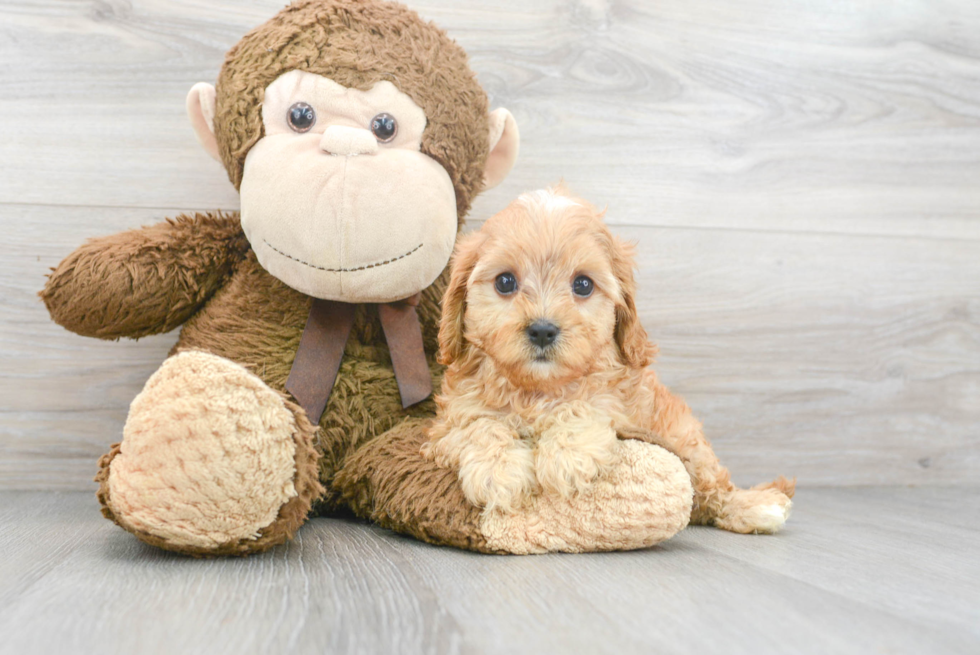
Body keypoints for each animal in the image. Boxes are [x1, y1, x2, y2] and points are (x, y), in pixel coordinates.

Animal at [424, 184, 796, 532]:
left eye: (583, 285)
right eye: (504, 282)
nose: (543, 330)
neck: (539, 390)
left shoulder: (620, 405)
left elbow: (585, 405)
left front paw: (566, 456)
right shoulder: (448, 422)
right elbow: (479, 425)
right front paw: (498, 470)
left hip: (685, 438)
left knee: (711, 488)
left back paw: (756, 507)